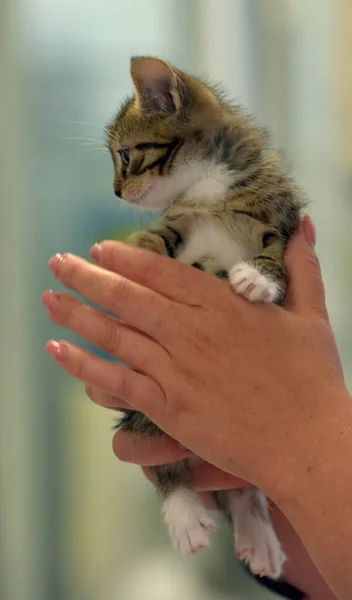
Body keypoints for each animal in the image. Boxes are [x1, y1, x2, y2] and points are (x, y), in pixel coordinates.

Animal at [106, 57, 304, 580]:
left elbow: (274, 255)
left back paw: (255, 527)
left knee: (243, 484)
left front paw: (258, 279)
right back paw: (185, 513)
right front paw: (125, 256)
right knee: (161, 460)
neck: (210, 187)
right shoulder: (178, 225)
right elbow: (155, 241)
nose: (115, 191)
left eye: (125, 155)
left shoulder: (279, 221)